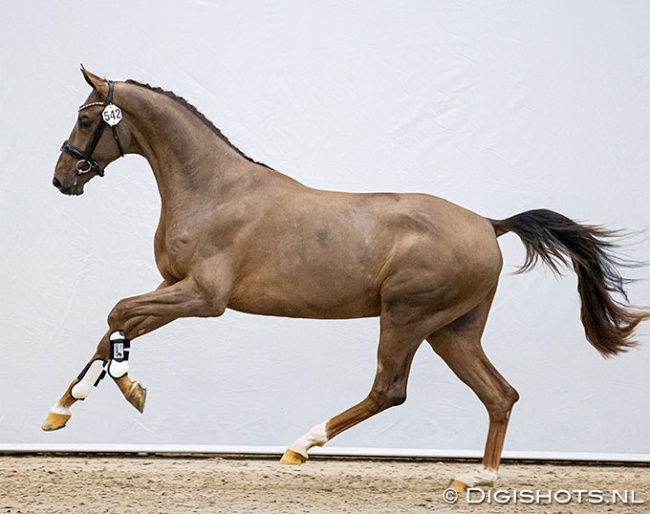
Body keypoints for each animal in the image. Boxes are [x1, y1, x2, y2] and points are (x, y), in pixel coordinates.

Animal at [44, 68, 644, 488]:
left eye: (85, 119)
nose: (61, 179)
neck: (214, 190)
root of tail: (488, 224)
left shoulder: (204, 297)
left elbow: (119, 313)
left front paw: (124, 390)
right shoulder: (173, 287)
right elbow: (117, 323)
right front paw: (63, 410)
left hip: (408, 318)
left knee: (390, 390)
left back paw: (301, 445)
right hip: (454, 330)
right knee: (500, 395)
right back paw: (478, 478)